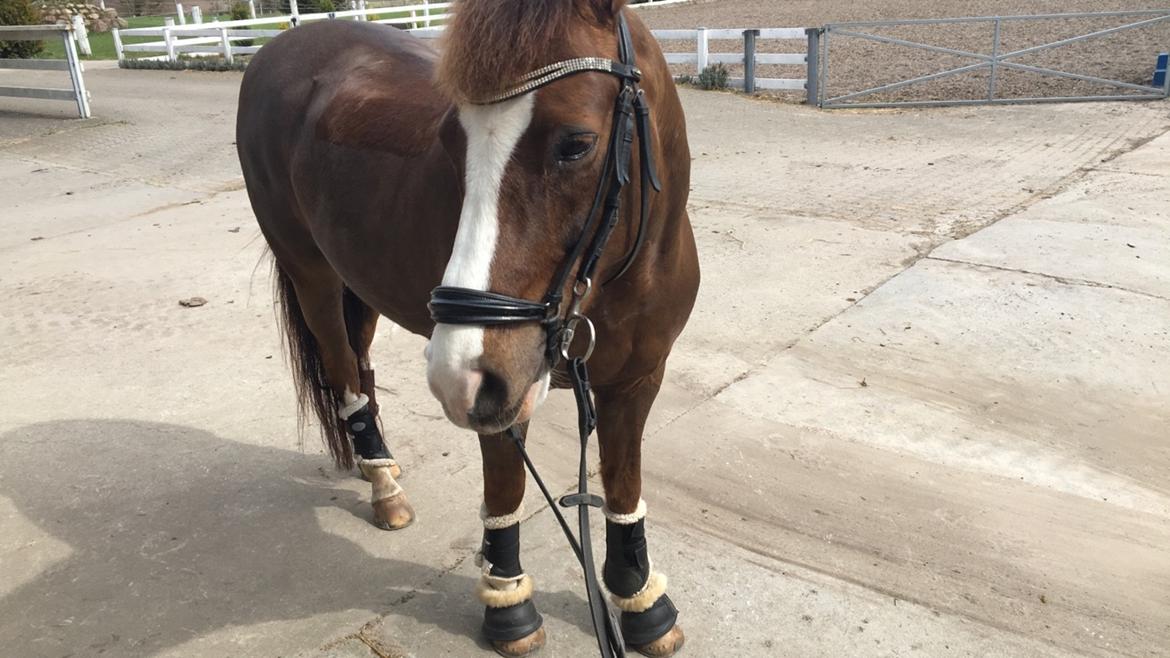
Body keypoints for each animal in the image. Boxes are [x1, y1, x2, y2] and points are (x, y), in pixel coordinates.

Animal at [235, 1, 698, 655]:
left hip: (360, 281)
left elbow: (623, 486)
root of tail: (282, 47)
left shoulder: (635, 380)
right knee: (341, 366)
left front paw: (640, 601)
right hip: (312, 274)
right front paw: (508, 604)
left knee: (361, 364)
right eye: (451, 143)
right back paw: (383, 486)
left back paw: (381, 463)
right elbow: (506, 490)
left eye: (576, 144)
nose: (458, 373)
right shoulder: (502, 395)